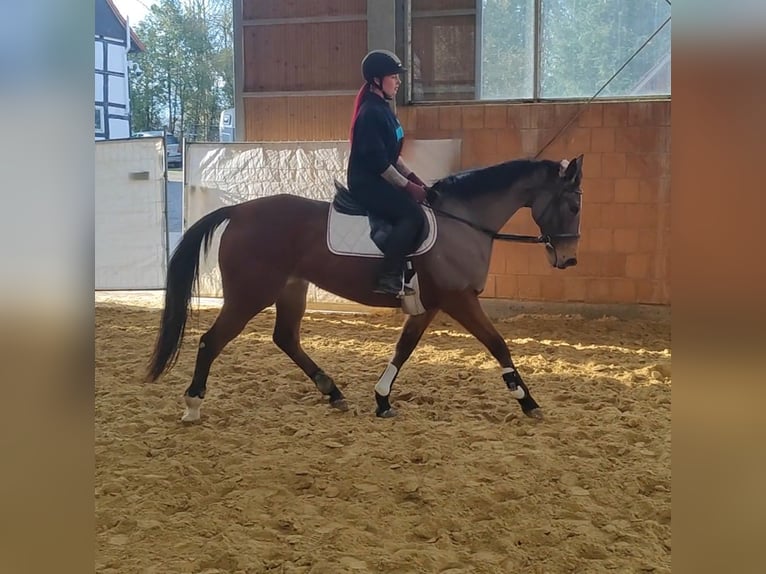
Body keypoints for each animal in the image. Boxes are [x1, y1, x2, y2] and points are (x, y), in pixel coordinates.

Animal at [147, 156, 584, 424]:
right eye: (575, 205)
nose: (568, 259)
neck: (463, 222)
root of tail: (238, 210)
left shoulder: (429, 304)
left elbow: (404, 349)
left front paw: (382, 399)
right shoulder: (459, 299)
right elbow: (498, 344)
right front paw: (527, 400)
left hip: (291, 289)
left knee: (285, 337)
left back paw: (332, 391)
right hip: (249, 294)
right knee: (212, 340)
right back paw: (193, 404)